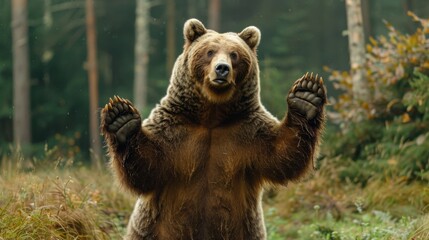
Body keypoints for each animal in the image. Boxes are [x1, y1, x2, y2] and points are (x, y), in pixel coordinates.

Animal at [101, 17, 324, 239]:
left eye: (234, 54)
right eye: (210, 51)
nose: (222, 68)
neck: (212, 117)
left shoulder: (247, 131)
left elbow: (281, 155)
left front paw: (306, 96)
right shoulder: (175, 131)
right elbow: (148, 167)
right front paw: (122, 119)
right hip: (152, 230)